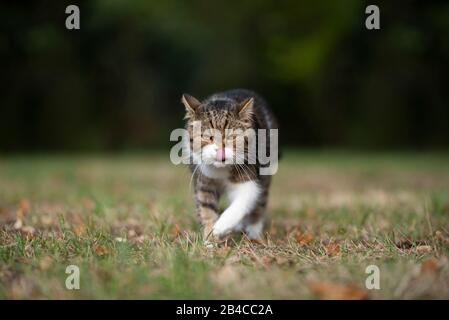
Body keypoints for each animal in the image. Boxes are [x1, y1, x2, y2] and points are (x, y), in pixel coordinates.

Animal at [180, 89, 278, 241]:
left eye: (232, 137)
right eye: (207, 137)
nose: (220, 151)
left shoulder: (249, 173)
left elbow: (244, 198)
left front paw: (221, 226)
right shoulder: (203, 180)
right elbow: (206, 208)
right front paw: (209, 240)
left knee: (260, 201)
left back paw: (254, 231)